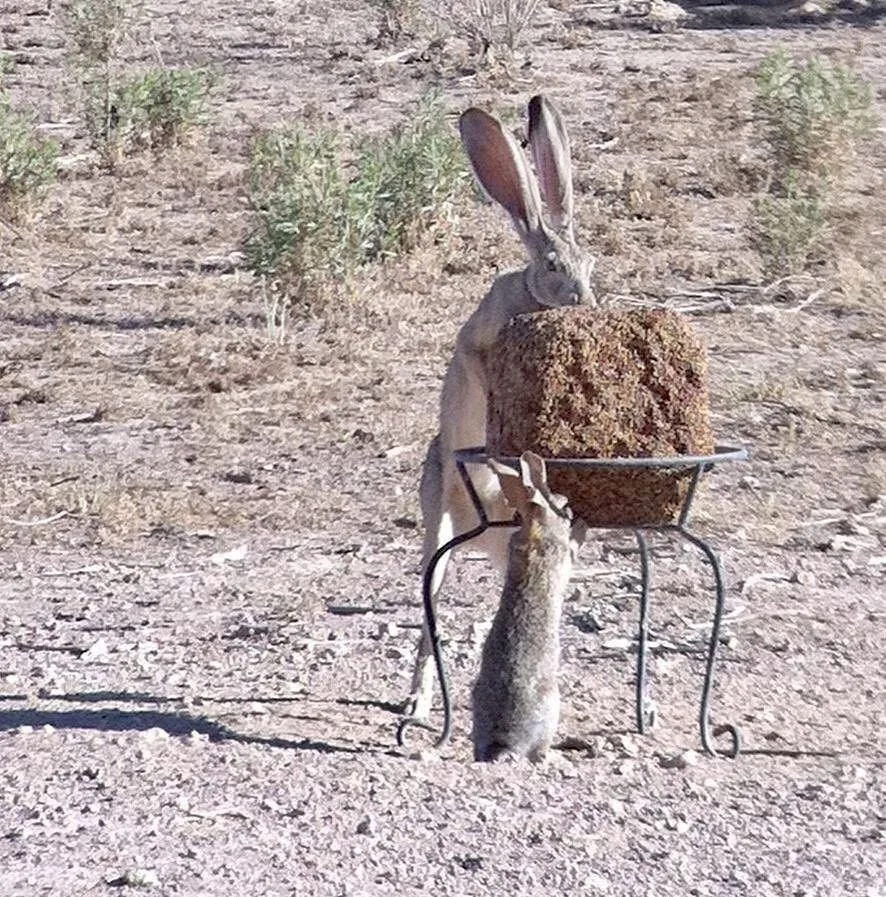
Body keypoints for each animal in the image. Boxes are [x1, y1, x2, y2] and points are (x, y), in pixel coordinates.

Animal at [406, 95, 597, 720]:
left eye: (590, 262)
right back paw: (417, 702)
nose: (585, 301)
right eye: (554, 266)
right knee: (430, 606)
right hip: (439, 525)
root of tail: (480, 532)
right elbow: (483, 370)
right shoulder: (475, 346)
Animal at [472, 452, 586, 762]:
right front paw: (582, 528)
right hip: (552, 707)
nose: (572, 510)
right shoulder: (562, 554)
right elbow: (573, 547)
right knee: (538, 753)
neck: (534, 528)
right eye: (563, 505)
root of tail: (504, 741)